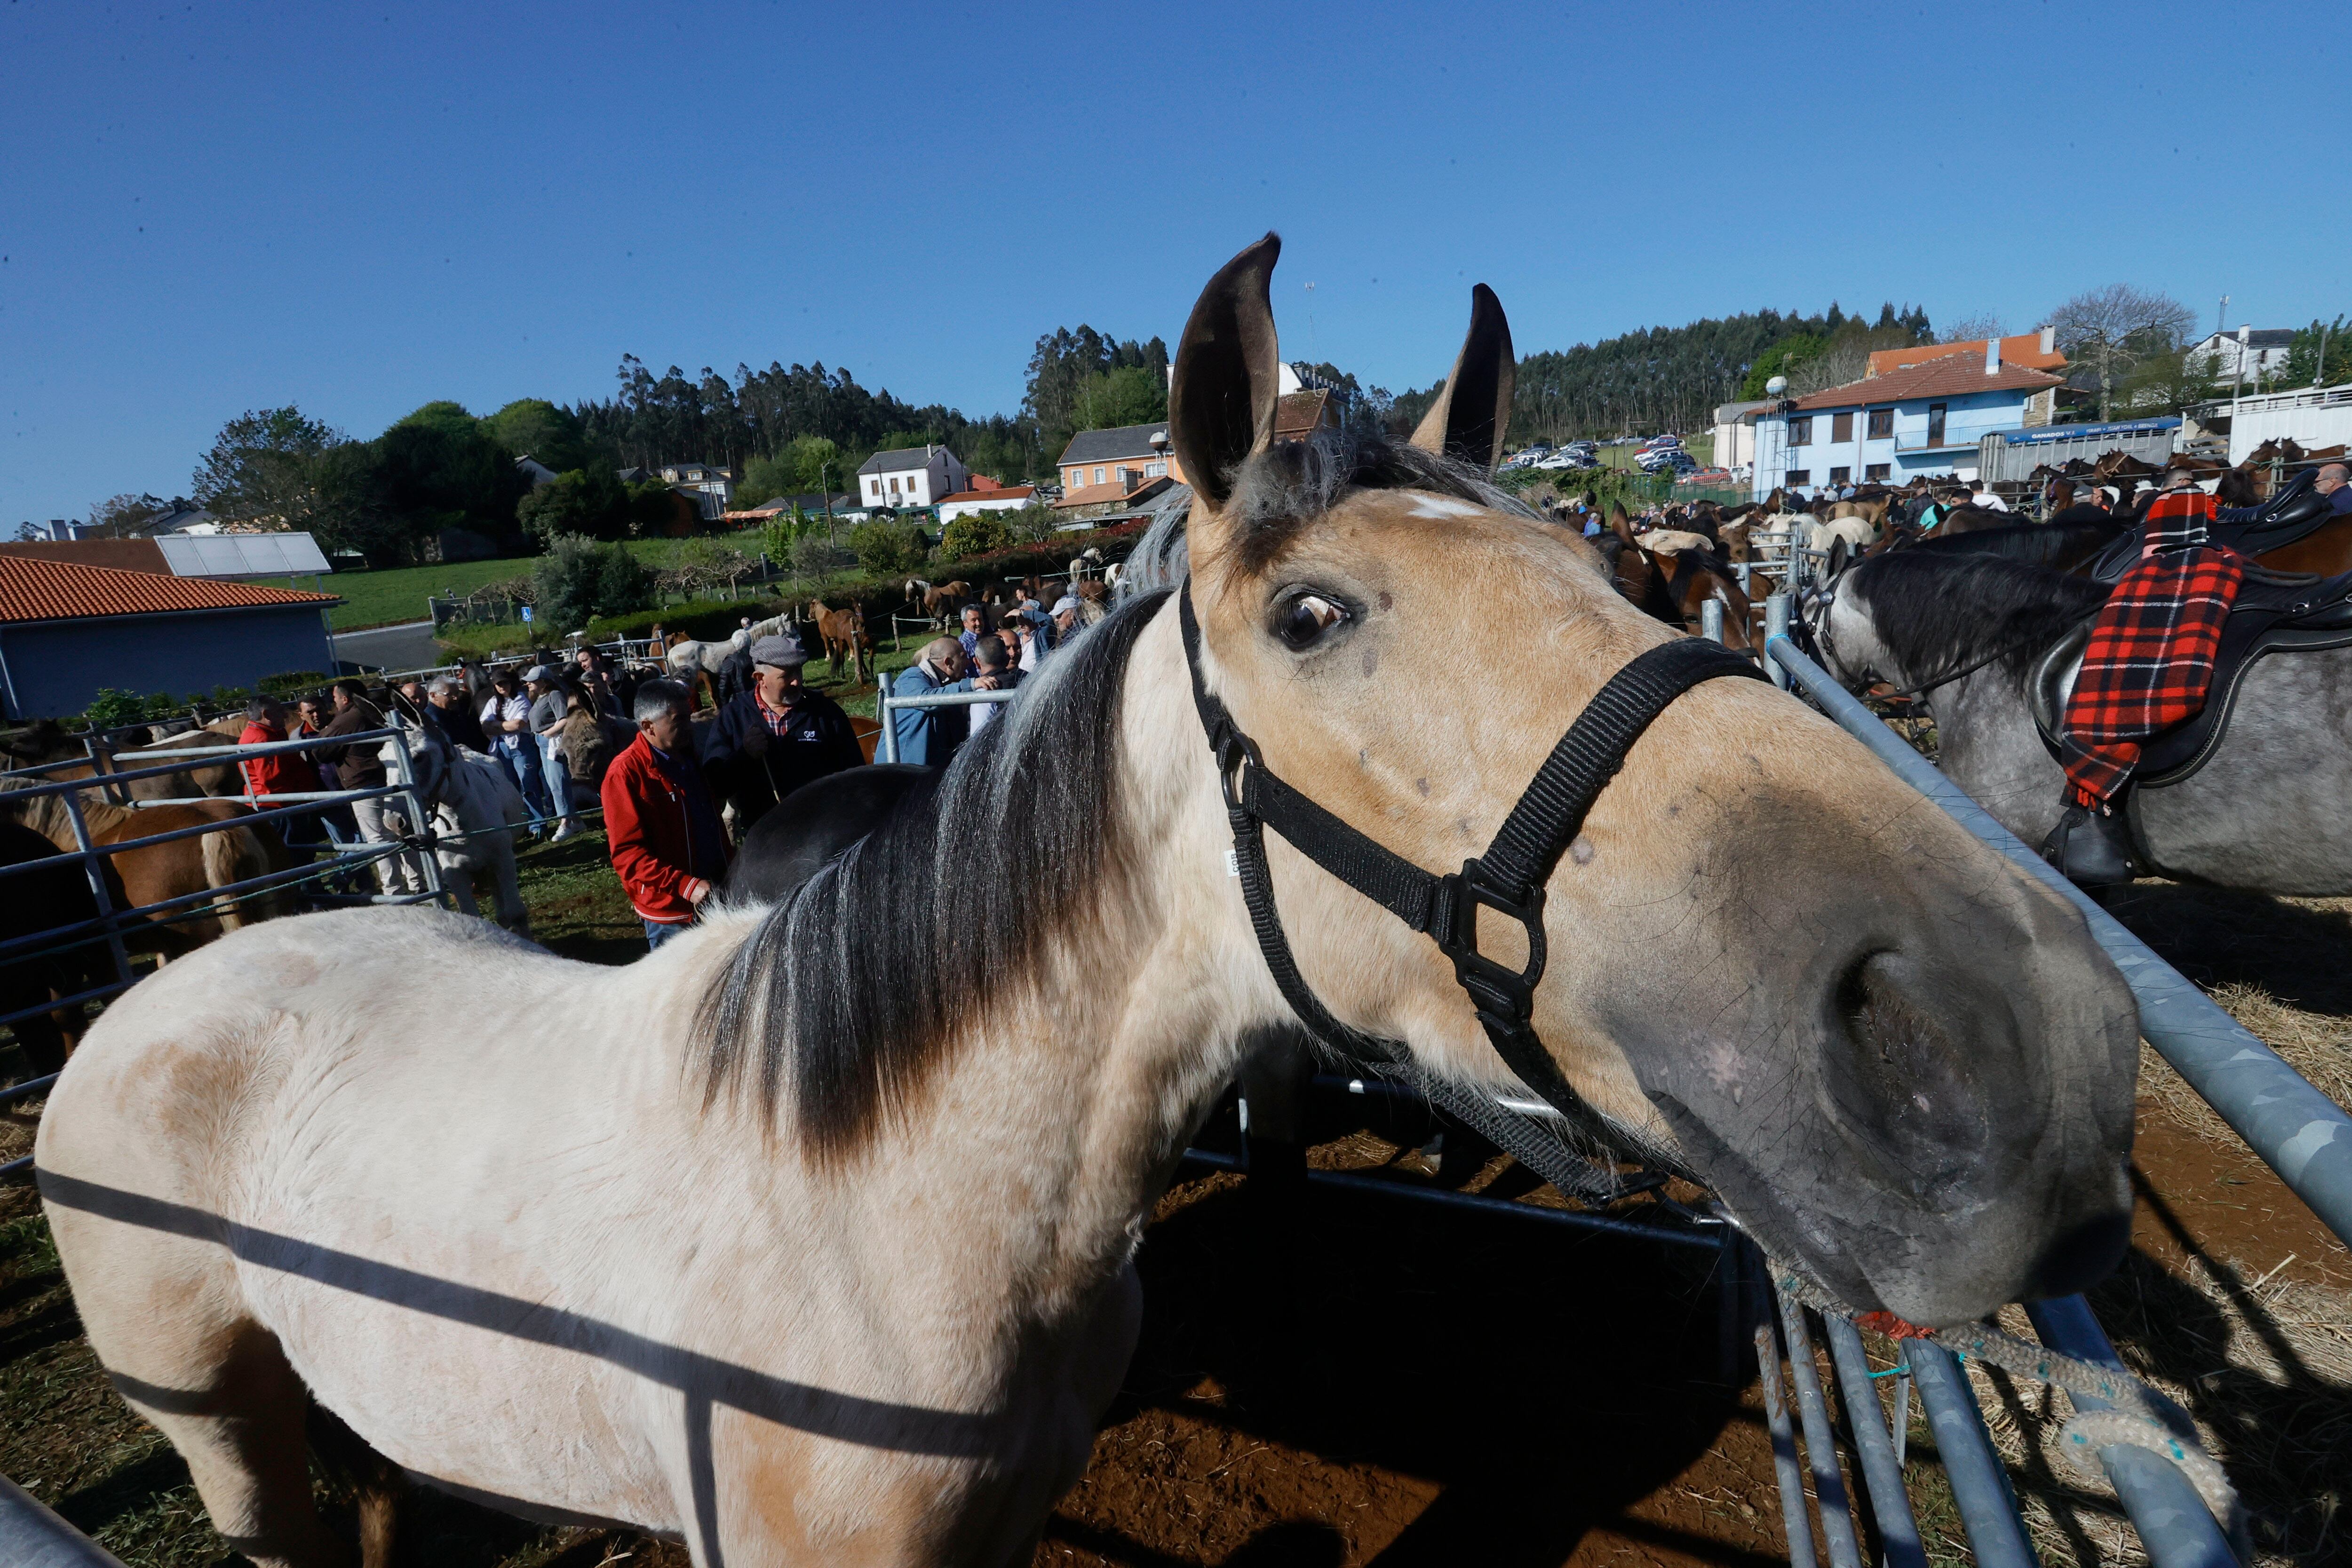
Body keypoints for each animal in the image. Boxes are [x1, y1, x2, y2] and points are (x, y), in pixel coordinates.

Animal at [379, 719, 532, 931]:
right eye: (383, 761)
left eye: (418, 757)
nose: (393, 821)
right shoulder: (454, 873)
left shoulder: (503, 859)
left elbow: (516, 913)